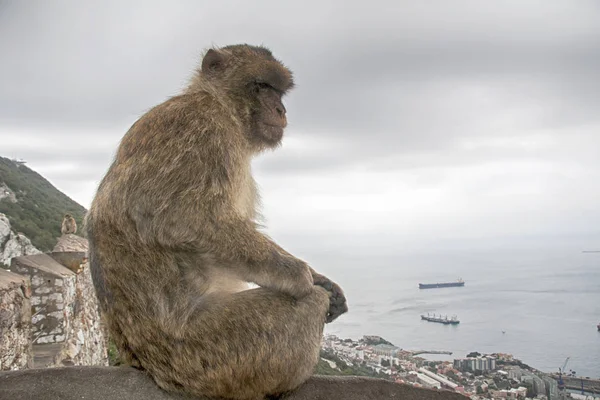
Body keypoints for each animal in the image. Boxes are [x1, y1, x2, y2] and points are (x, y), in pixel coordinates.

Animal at [85, 44, 346, 400]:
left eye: (279, 91)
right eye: (262, 86)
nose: (280, 109)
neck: (220, 104)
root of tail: (146, 366)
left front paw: (323, 280)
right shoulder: (200, 126)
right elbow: (180, 216)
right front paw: (301, 276)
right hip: (208, 354)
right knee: (305, 306)